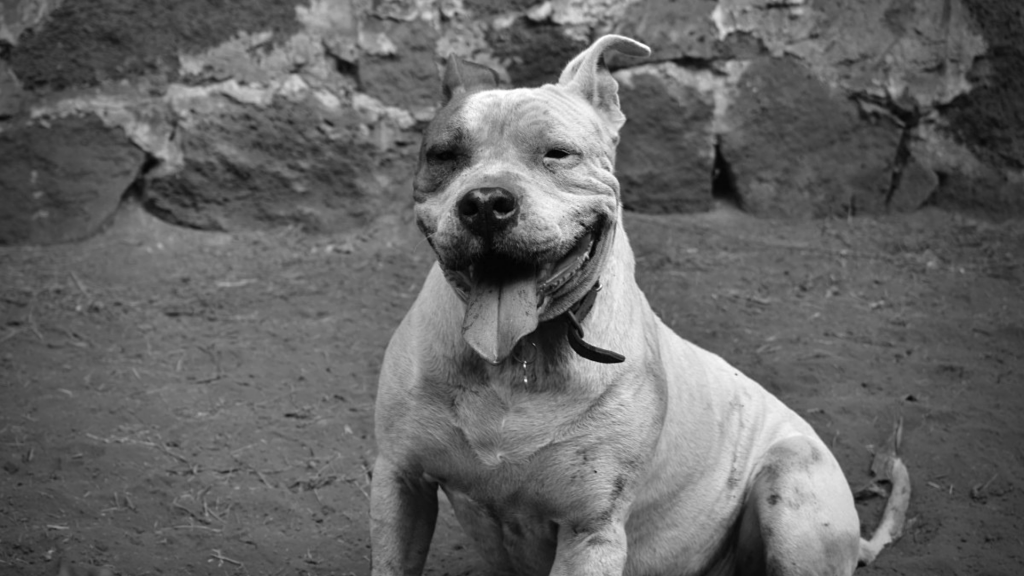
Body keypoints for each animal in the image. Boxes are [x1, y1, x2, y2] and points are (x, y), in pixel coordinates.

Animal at [370, 35, 910, 576]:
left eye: (557, 153)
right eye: (444, 155)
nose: (485, 202)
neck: (519, 358)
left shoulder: (591, 530)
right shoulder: (400, 481)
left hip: (791, 477)